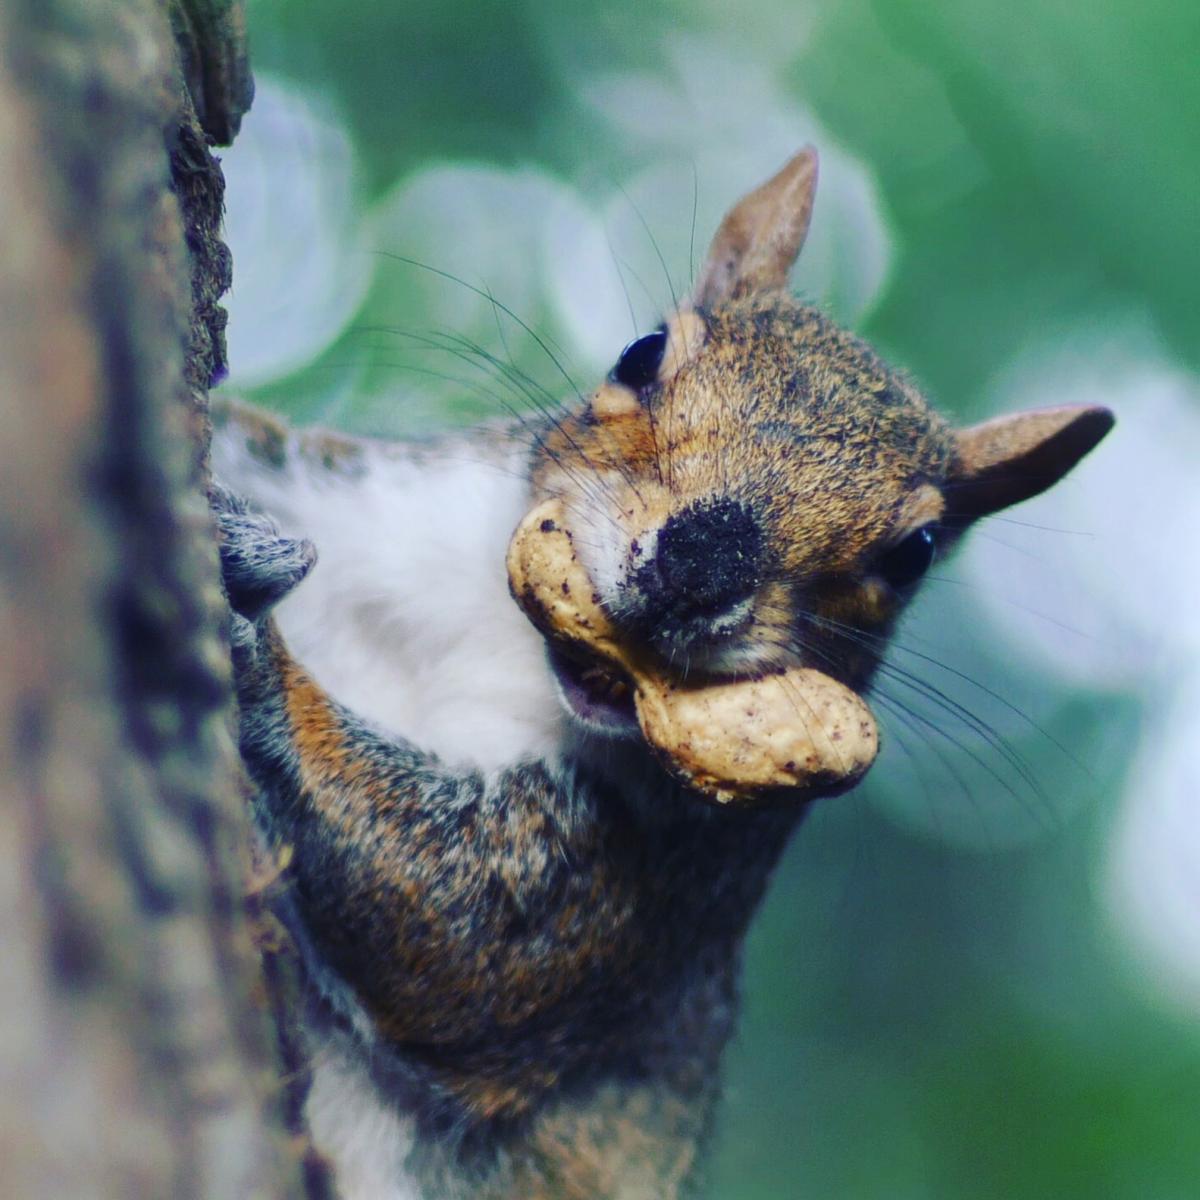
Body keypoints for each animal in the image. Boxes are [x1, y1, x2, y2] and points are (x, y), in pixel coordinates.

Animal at [213, 152, 1113, 1200]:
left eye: (915, 554)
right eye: (642, 353)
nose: (698, 566)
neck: (500, 641)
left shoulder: (677, 867)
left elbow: (474, 930)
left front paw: (263, 660)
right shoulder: (363, 500)